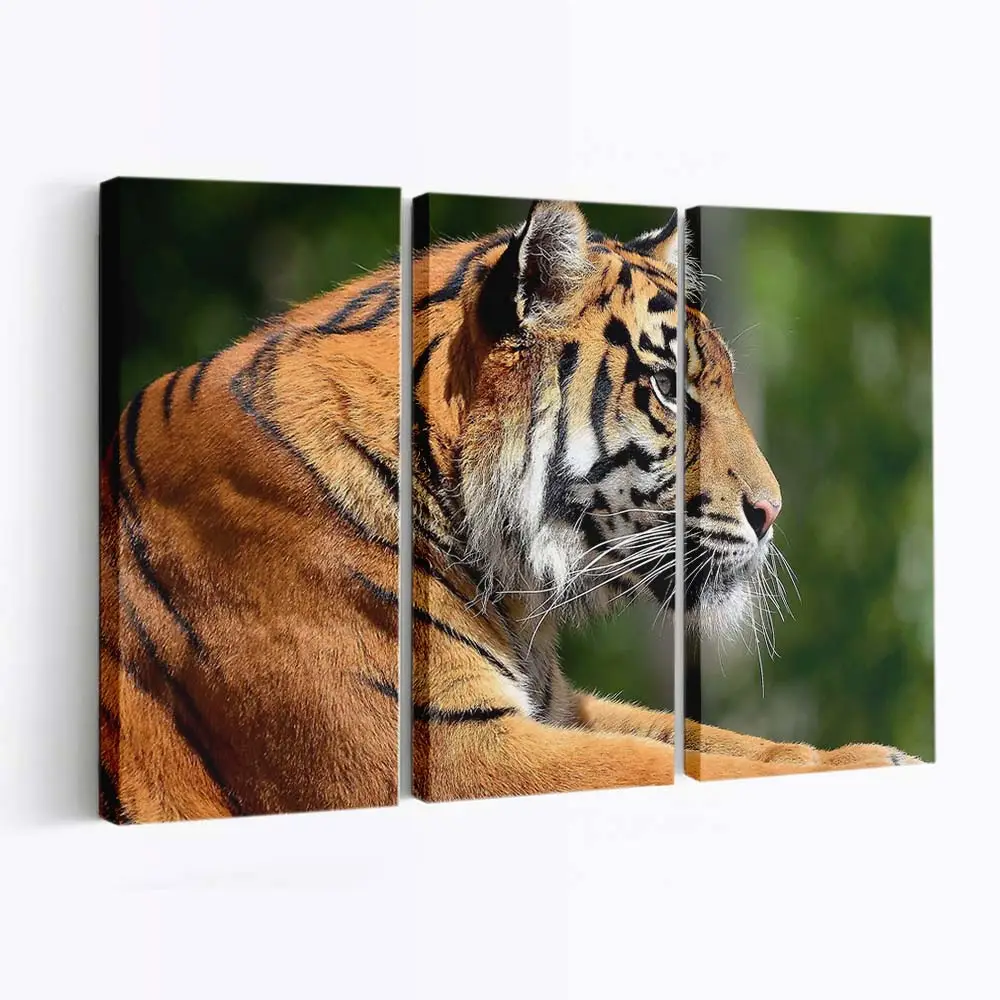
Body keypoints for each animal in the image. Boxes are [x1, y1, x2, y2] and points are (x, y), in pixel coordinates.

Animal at [100, 198, 914, 823]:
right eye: (667, 389)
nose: (772, 510)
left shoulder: (556, 707)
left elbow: (707, 739)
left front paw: (869, 753)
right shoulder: (458, 749)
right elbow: (670, 764)